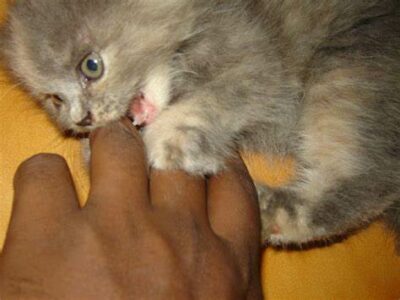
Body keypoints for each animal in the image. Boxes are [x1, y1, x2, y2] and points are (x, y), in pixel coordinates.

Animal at [0, 0, 400, 251]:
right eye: (55, 99)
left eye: (91, 66)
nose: (83, 119)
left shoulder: (261, 67)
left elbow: (208, 101)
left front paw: (166, 140)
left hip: (351, 71)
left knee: (364, 184)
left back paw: (261, 206)